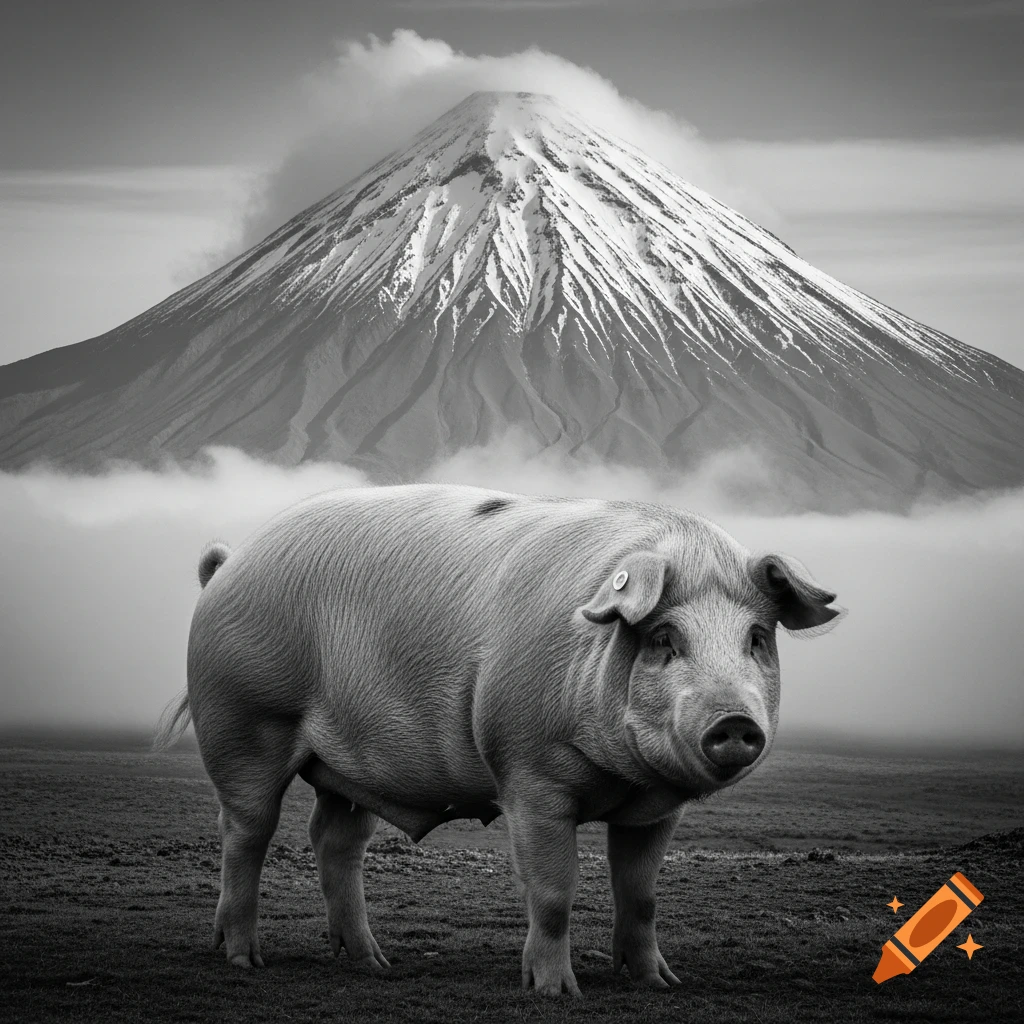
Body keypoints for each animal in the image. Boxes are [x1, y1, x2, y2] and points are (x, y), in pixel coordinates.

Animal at [153, 483, 843, 997]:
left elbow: (642, 894)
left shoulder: (656, 810)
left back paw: (373, 963)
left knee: (336, 840)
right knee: (245, 832)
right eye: (664, 637)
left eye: (757, 637)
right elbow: (554, 890)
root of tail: (226, 565)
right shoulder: (528, 773)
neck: (621, 779)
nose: (734, 721)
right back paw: (244, 960)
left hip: (347, 766)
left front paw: (661, 984)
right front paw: (556, 993)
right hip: (244, 721)